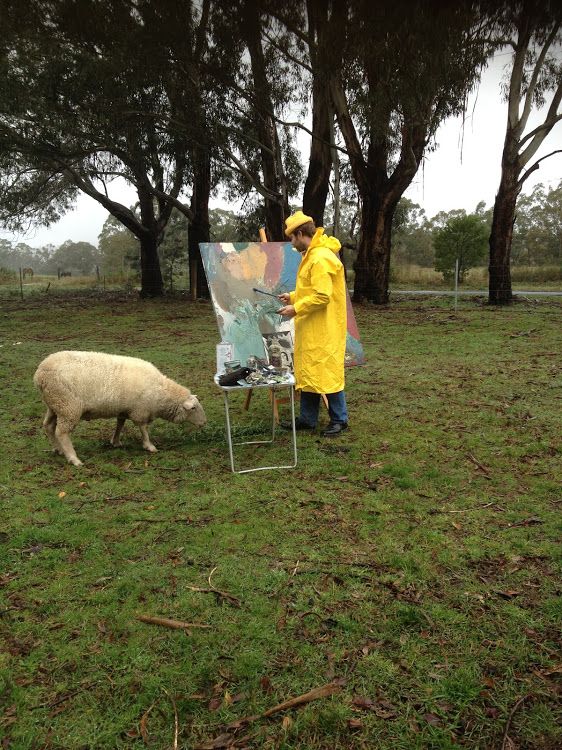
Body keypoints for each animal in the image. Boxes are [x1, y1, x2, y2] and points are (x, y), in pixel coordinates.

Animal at [33, 351, 206, 466]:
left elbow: (120, 424)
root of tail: (39, 375)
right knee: (61, 432)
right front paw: (149, 446)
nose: (204, 423)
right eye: (193, 408)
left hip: (55, 405)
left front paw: (115, 441)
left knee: (48, 426)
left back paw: (58, 449)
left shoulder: (124, 409)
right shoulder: (140, 410)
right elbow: (143, 428)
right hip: (68, 406)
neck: (161, 394)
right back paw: (73, 458)